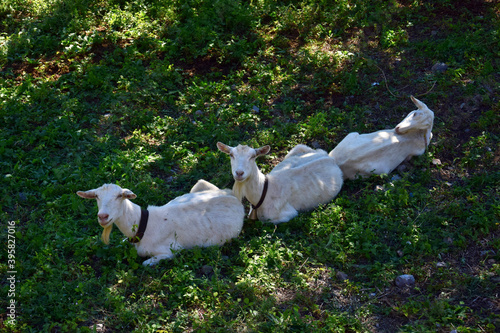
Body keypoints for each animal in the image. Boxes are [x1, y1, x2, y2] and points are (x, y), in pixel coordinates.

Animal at [75, 180, 244, 266]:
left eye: (119, 196)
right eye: (96, 196)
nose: (103, 216)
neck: (143, 224)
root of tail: (233, 197)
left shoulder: (170, 251)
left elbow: (145, 263)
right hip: (201, 185)